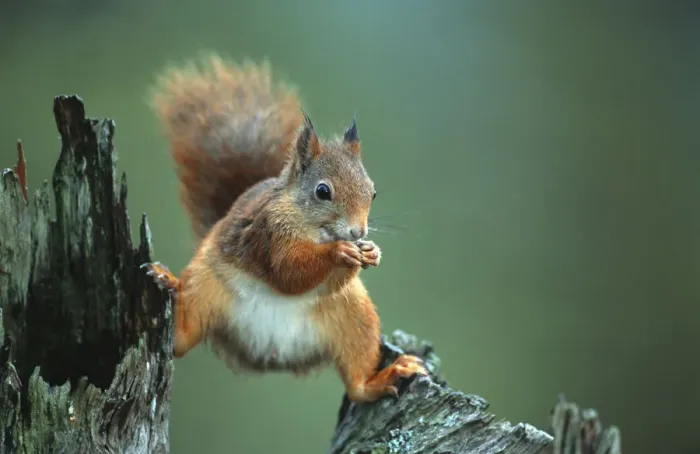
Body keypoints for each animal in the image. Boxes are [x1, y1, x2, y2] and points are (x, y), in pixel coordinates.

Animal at [143, 54, 427, 403]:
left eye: (372, 192)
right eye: (323, 191)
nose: (358, 234)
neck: (310, 226)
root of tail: (271, 353)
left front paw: (371, 252)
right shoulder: (269, 232)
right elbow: (288, 272)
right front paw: (339, 252)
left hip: (355, 316)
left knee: (357, 383)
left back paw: (384, 377)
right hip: (203, 286)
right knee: (181, 341)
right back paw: (166, 281)